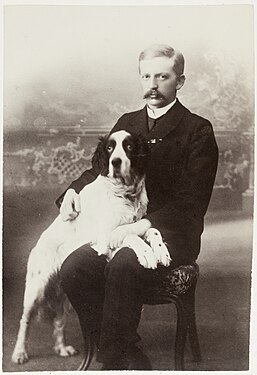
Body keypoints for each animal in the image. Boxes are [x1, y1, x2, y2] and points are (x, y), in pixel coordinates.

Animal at [11, 131, 170, 364]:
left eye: (130, 147)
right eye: (110, 148)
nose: (115, 162)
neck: (123, 194)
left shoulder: (140, 221)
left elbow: (151, 229)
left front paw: (160, 251)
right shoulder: (104, 238)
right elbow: (129, 235)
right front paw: (146, 254)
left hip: (62, 293)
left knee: (59, 319)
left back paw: (62, 348)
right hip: (36, 288)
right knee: (25, 320)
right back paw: (20, 352)